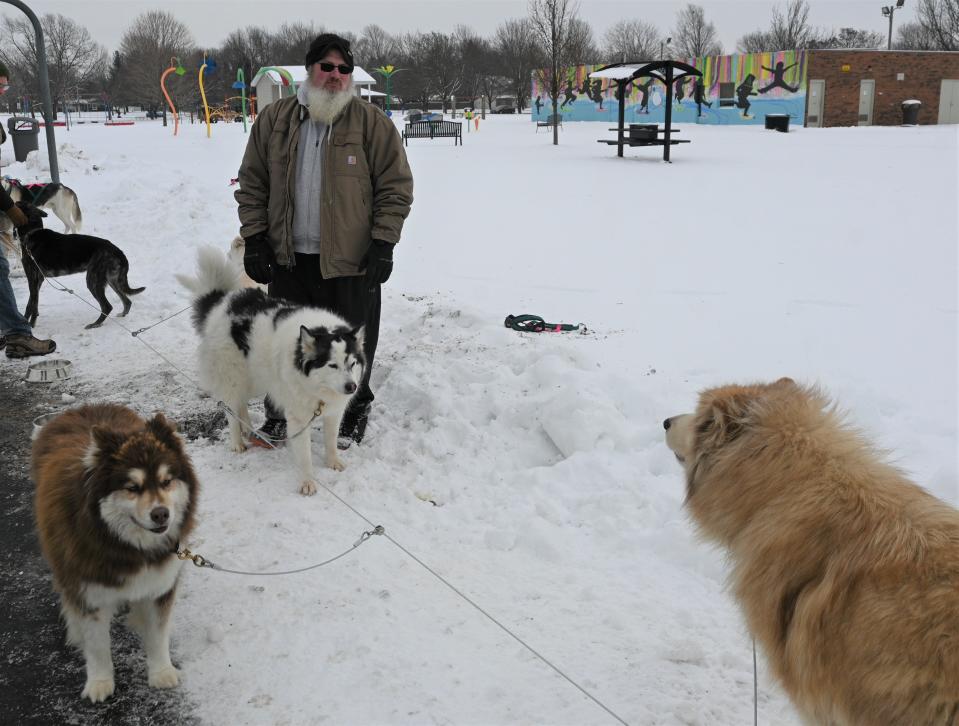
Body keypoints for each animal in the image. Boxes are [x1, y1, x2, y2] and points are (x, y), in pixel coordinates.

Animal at [15, 205, 145, 330]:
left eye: (19, 204)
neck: (32, 232)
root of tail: (118, 251)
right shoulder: (38, 280)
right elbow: (33, 304)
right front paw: (29, 323)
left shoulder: (32, 278)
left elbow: (31, 304)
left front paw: (29, 325)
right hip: (112, 281)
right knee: (127, 301)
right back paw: (121, 315)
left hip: (93, 281)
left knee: (107, 306)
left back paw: (95, 324)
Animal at [32, 406, 199, 704]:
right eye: (132, 488)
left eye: (167, 482)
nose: (161, 514)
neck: (126, 546)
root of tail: (85, 407)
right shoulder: (89, 590)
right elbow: (98, 645)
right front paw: (100, 682)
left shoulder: (160, 586)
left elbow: (158, 635)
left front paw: (161, 672)